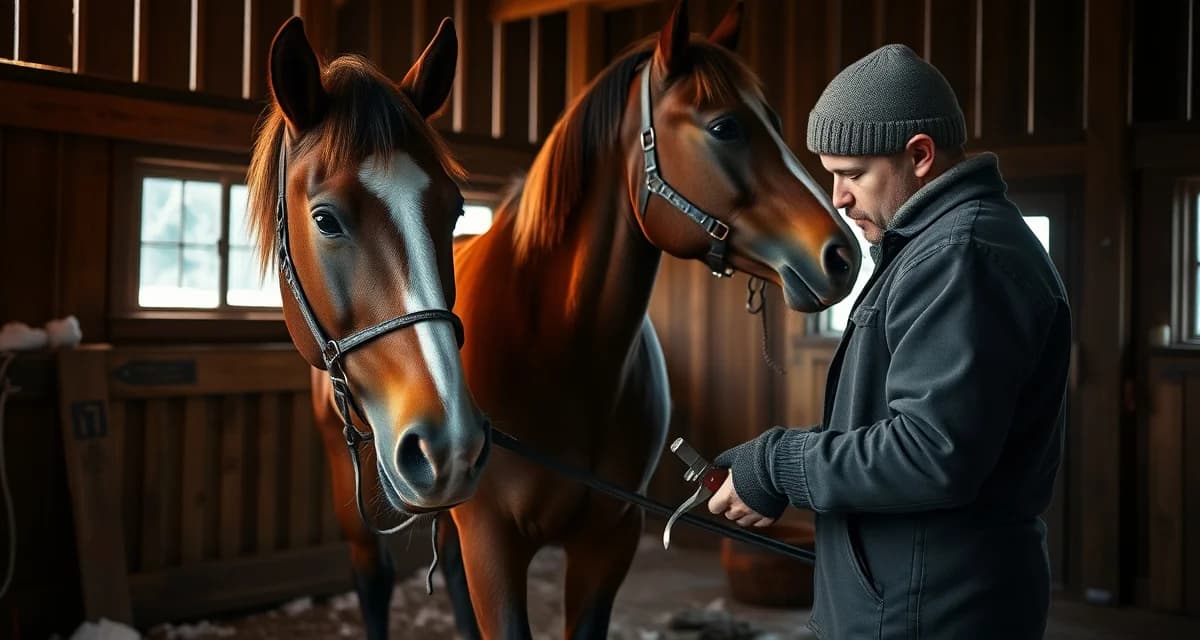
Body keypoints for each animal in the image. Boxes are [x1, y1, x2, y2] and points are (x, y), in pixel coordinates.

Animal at [246, 17, 491, 640]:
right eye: (325, 219)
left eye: (454, 210)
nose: (446, 442)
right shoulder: (341, 462)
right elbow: (372, 578)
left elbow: (461, 572)